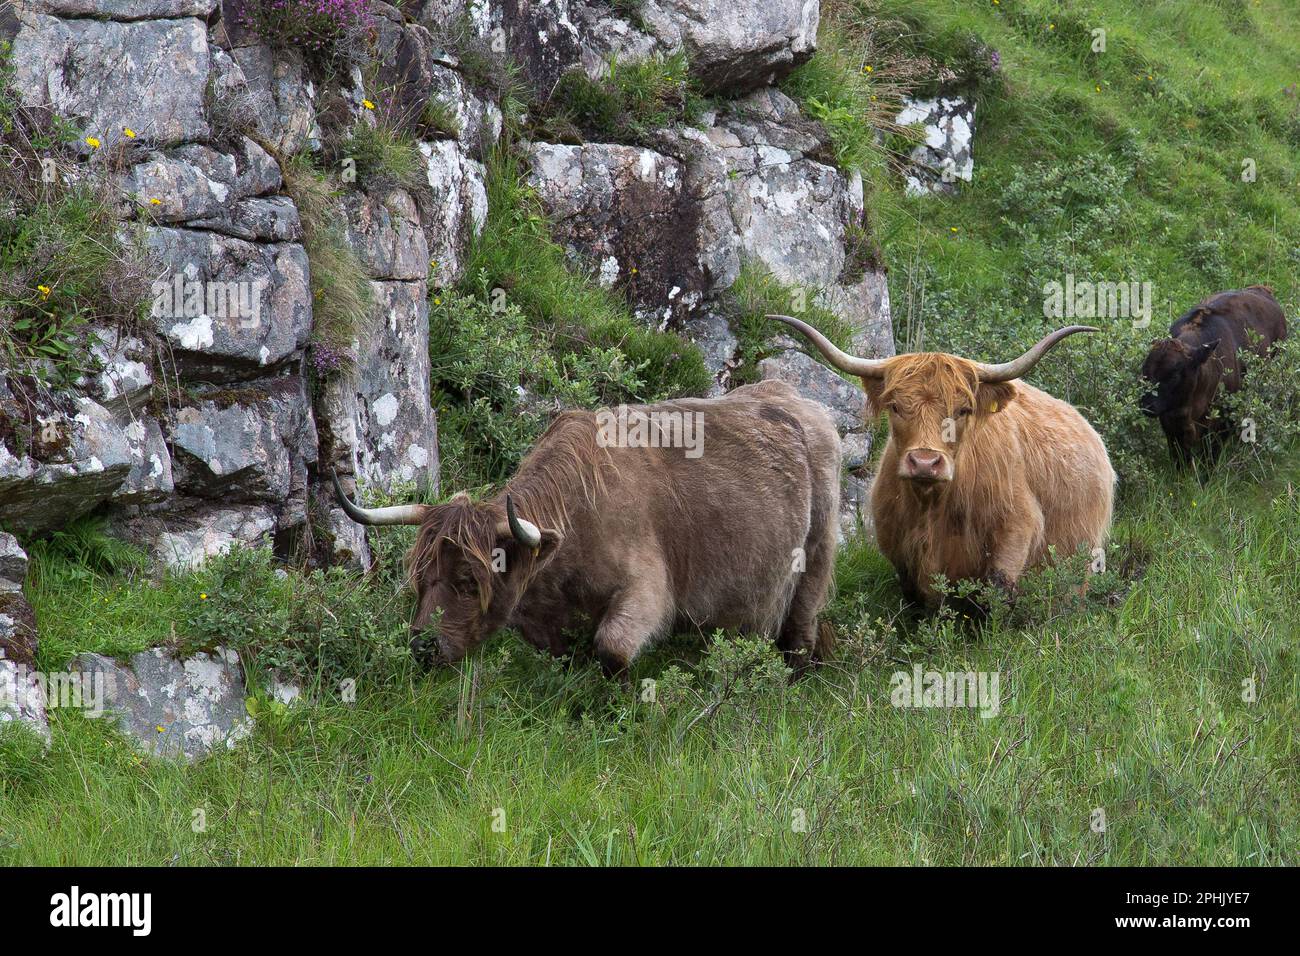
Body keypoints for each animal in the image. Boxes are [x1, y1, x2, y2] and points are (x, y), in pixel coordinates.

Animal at [335, 377, 842, 676]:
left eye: (467, 581)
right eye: (421, 579)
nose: (422, 646)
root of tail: (789, 393)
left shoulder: (648, 592)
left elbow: (612, 648)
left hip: (814, 563)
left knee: (800, 633)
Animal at [769, 317, 1118, 608]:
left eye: (963, 410)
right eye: (895, 406)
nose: (925, 462)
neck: (933, 508)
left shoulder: (1017, 526)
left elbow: (998, 591)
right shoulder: (898, 546)